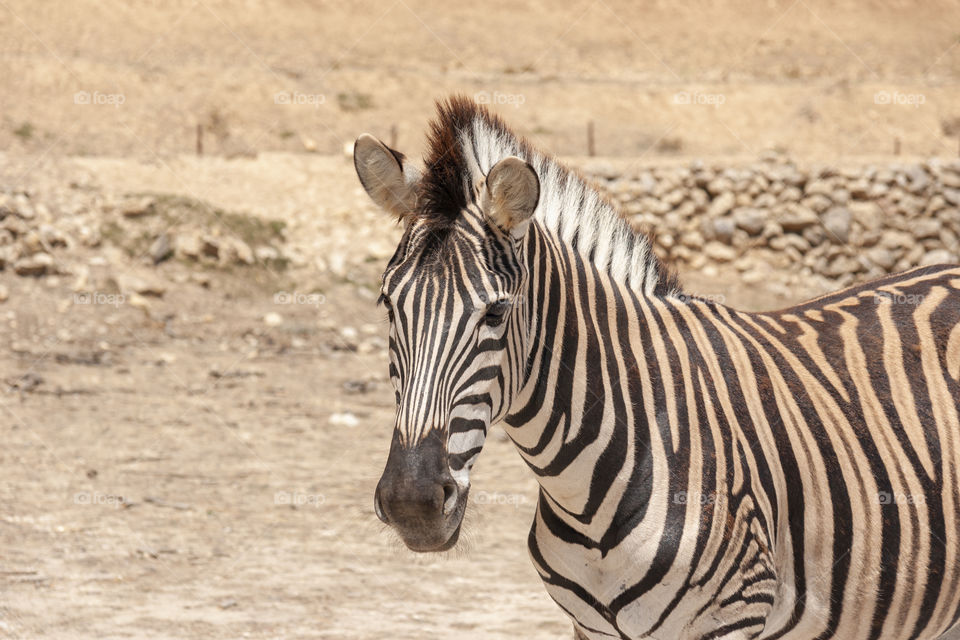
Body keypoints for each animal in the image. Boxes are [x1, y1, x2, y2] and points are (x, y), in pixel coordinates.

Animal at [354, 95, 960, 640]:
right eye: (387, 305)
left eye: (497, 313)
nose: (412, 505)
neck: (585, 491)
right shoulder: (590, 629)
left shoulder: (730, 620)